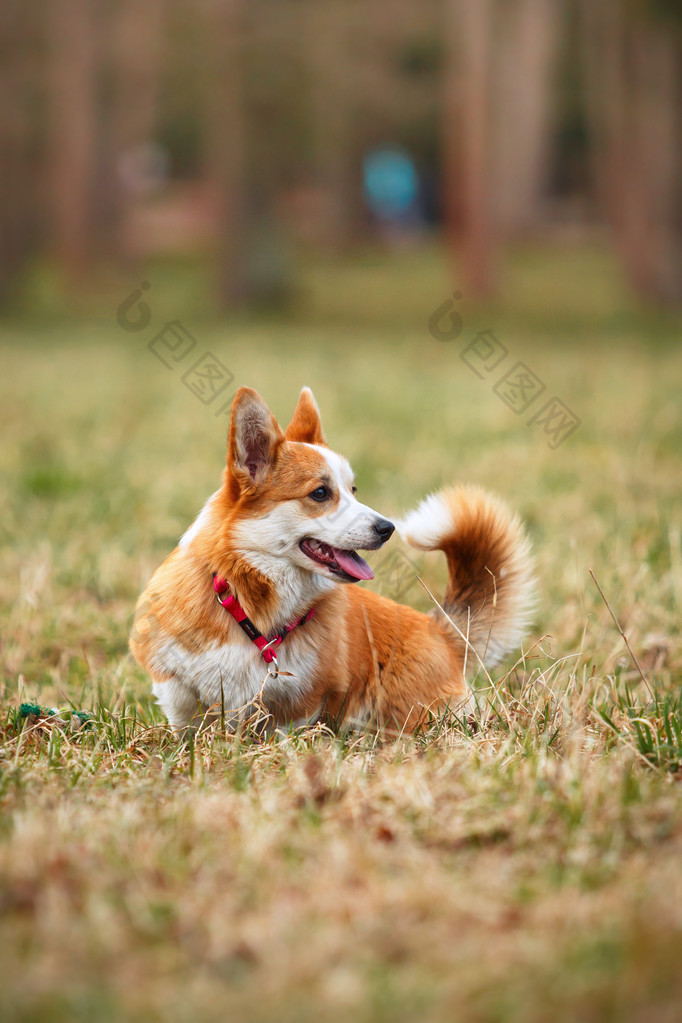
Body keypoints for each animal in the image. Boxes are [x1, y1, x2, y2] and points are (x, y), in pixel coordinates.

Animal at [129, 384, 531, 736]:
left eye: (353, 490)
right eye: (321, 493)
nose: (388, 528)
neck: (251, 604)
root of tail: (442, 632)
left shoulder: (301, 702)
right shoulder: (176, 688)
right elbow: (186, 723)